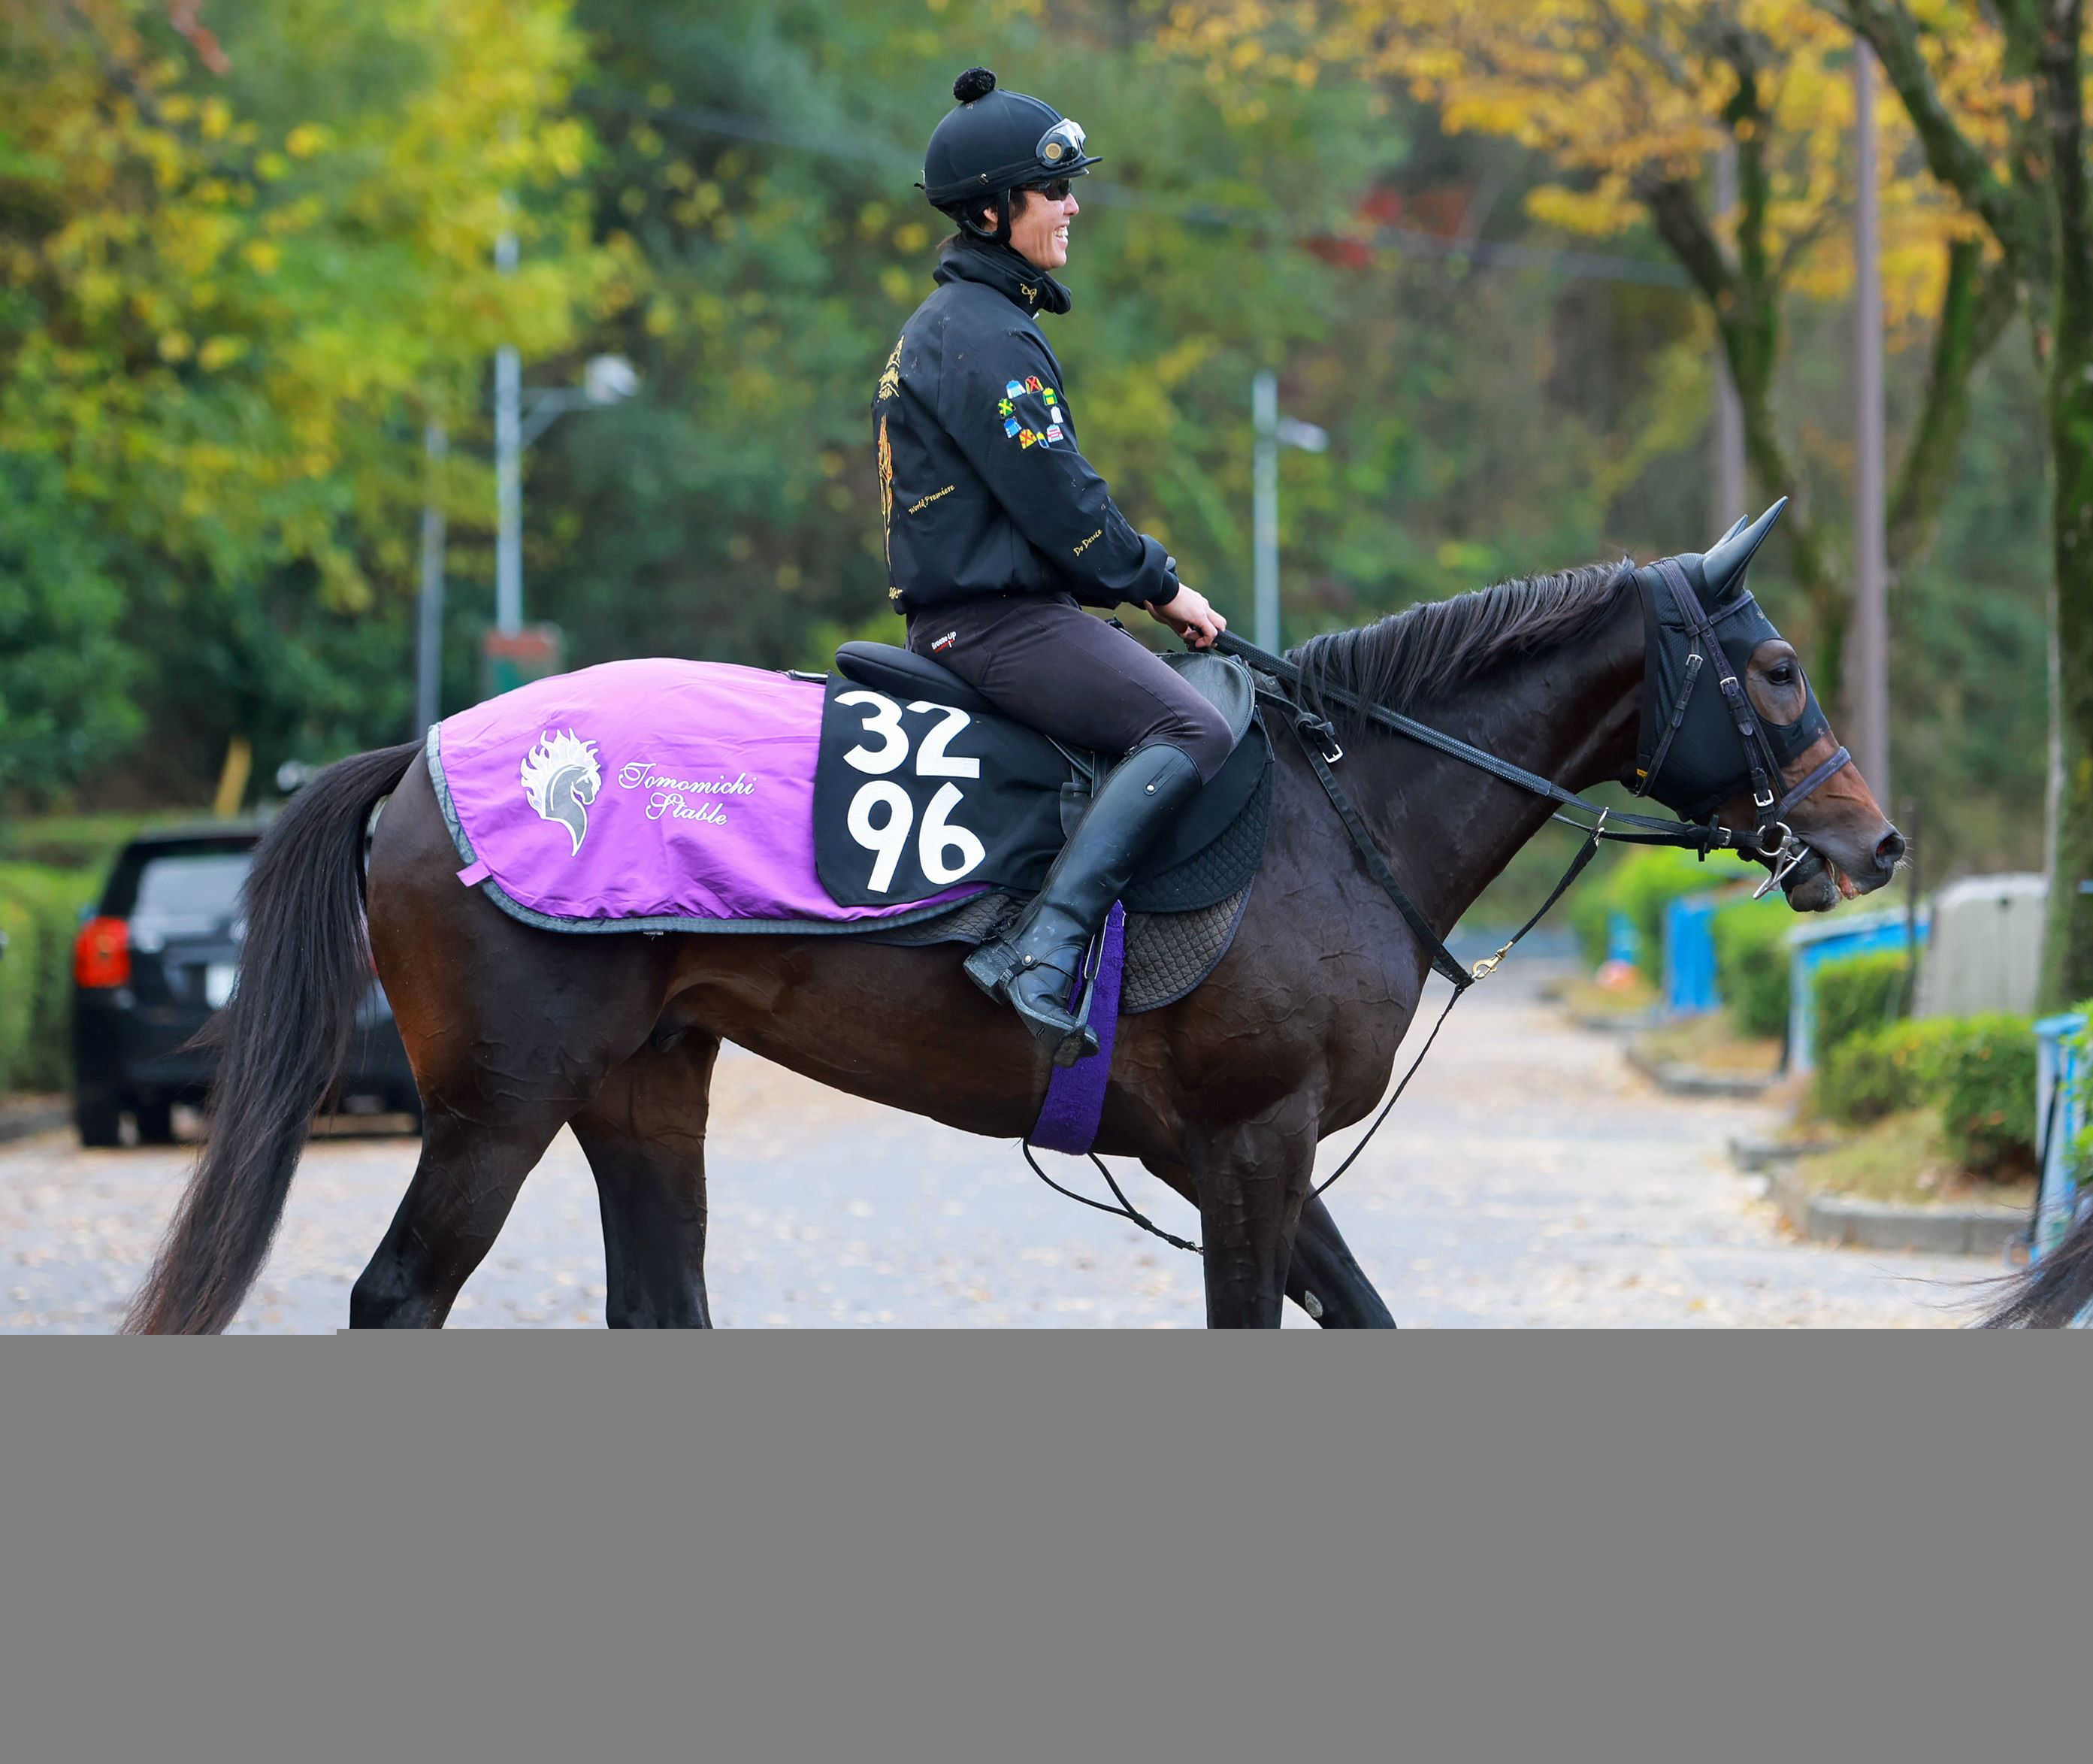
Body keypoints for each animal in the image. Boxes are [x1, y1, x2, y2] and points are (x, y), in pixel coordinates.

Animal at [126, 516, 1900, 1330]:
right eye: (1774, 667)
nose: (1871, 840)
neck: (1343, 811)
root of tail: (430, 756)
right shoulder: (1251, 1145)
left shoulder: (1235, 1155)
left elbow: (1366, 1315)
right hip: (498, 1107)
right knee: (398, 1296)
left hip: (644, 1090)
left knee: (658, 1303)